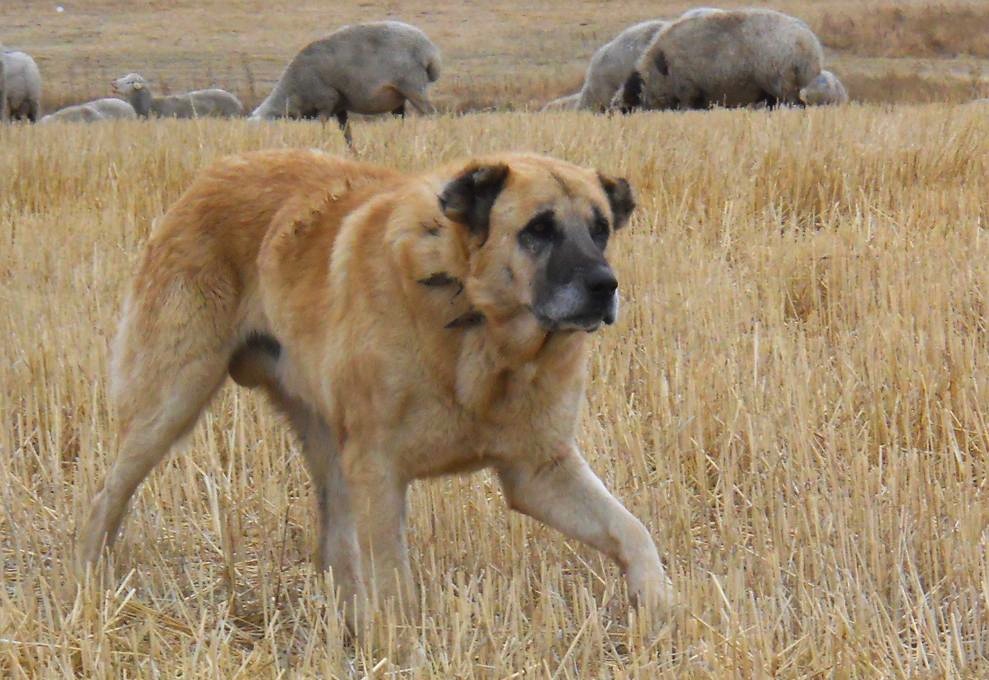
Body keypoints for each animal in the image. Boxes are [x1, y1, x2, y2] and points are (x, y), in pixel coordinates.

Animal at [81, 147, 676, 628]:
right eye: (538, 230)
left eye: (600, 230)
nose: (605, 286)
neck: (475, 320)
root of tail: (213, 173)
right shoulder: (380, 471)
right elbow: (393, 586)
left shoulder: (540, 472)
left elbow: (633, 532)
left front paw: (664, 609)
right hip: (170, 403)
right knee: (106, 499)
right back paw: (85, 587)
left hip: (328, 447)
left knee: (333, 548)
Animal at [251, 21, 440, 143]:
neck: (292, 91)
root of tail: (429, 50)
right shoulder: (340, 107)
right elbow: (347, 134)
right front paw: (352, 154)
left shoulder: (326, 101)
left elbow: (322, 127)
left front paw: (322, 144)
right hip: (399, 97)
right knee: (401, 120)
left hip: (413, 87)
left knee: (431, 114)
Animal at [612, 8, 824, 112]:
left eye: (626, 110)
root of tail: (810, 45)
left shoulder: (688, 90)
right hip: (774, 89)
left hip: (782, 83)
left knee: (796, 105)